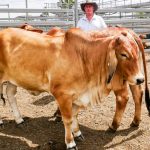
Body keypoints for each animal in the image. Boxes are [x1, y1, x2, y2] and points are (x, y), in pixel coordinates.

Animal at [0, 27, 148, 149]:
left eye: (137, 52)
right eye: (123, 54)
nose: (140, 79)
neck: (83, 58)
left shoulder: (78, 94)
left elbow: (75, 115)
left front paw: (77, 133)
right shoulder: (62, 95)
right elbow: (68, 119)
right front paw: (70, 142)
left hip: (13, 80)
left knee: (10, 94)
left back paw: (19, 120)